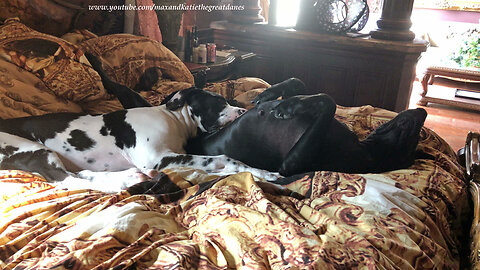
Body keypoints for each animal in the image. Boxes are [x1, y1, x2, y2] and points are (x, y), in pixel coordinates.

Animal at [0, 88, 280, 192]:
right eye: (219, 101)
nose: (243, 111)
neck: (173, 120)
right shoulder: (158, 159)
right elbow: (224, 158)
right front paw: (261, 172)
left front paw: (262, 173)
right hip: (35, 150)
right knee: (66, 179)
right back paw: (129, 179)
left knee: (81, 175)